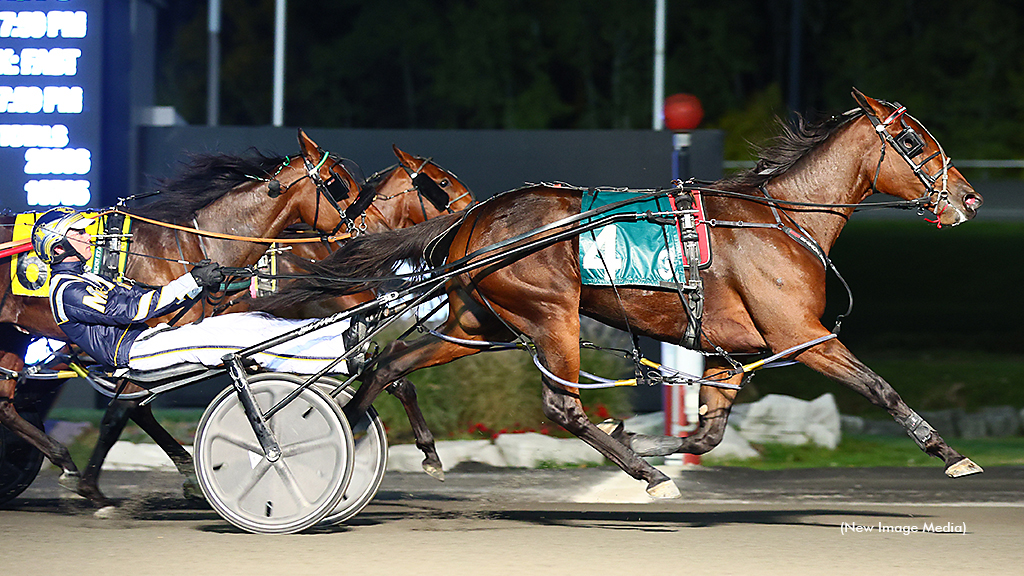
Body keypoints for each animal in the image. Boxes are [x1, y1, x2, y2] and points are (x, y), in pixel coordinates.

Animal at [0, 131, 471, 506]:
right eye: (442, 184)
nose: (471, 212)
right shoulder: (148, 339)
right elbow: (122, 410)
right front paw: (93, 489)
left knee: (7, 405)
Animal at [270, 89, 983, 494]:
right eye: (912, 140)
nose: (970, 198)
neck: (780, 220)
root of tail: (470, 221)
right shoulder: (800, 335)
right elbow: (879, 387)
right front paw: (949, 454)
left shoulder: (729, 352)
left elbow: (709, 431)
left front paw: (649, 440)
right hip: (552, 315)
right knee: (562, 408)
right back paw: (648, 478)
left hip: (481, 323)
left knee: (391, 364)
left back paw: (364, 436)